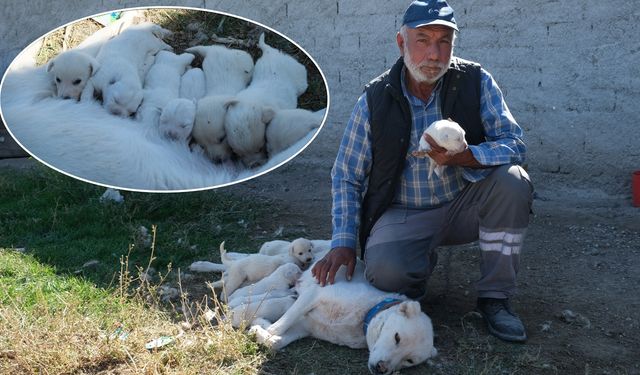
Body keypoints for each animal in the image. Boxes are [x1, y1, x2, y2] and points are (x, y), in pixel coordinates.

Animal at [224, 33, 308, 168]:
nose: (254, 165)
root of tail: (269, 52)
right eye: (238, 153)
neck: (254, 101)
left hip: (298, 75)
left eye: (260, 148)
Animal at [248, 258, 438, 375]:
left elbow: (275, 342)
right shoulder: (313, 294)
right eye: (397, 337)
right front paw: (263, 325)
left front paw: (260, 329)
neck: (363, 317)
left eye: (409, 360)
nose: (381, 369)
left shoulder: (306, 327)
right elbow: (279, 325)